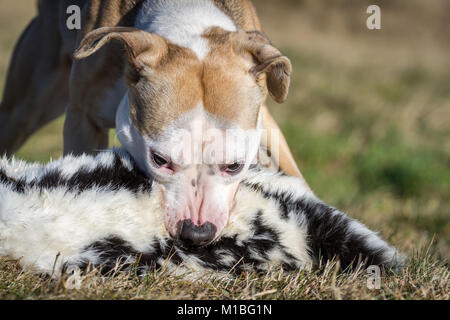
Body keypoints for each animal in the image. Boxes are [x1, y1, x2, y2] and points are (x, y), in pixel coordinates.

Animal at [0, 0, 310, 248]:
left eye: (234, 165)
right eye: (160, 160)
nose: (196, 233)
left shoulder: (263, 116)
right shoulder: (83, 119)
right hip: (27, 104)